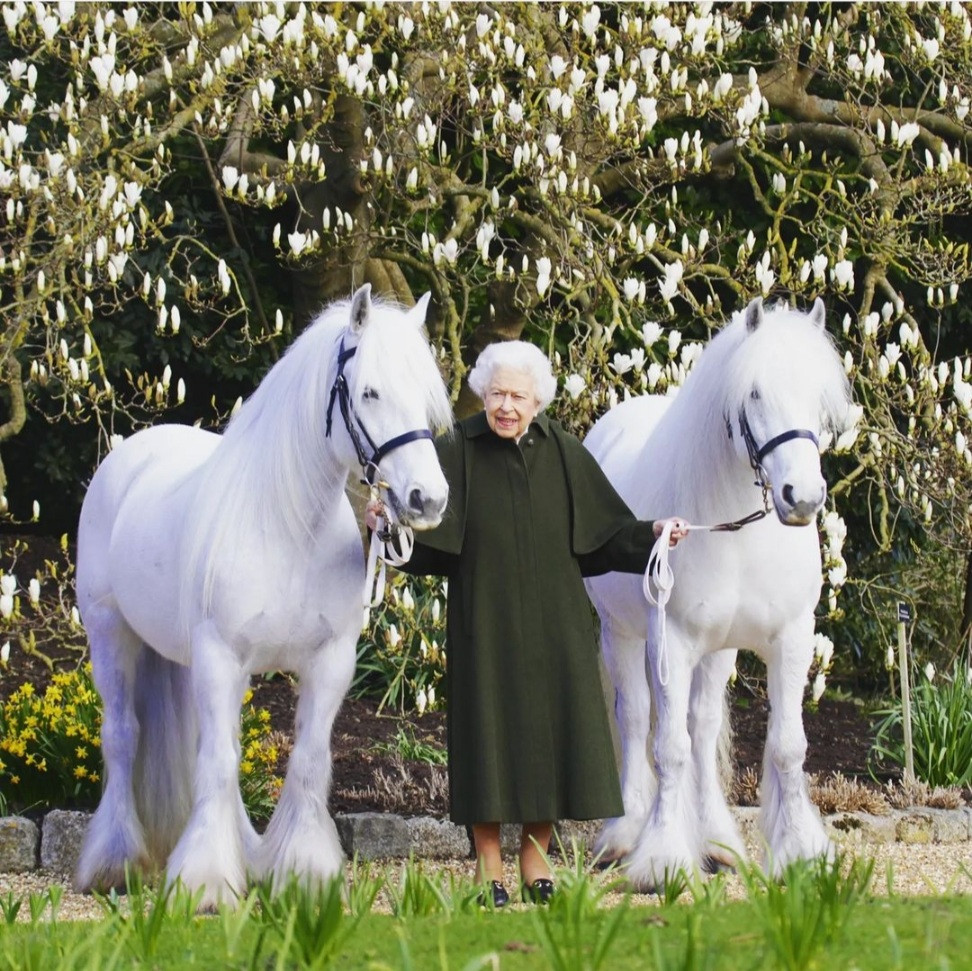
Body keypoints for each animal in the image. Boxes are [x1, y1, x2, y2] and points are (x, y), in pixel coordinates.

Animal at [74, 285, 452, 909]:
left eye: (425, 398)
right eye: (369, 391)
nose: (428, 499)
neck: (288, 527)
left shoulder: (329, 663)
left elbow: (307, 761)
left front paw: (304, 874)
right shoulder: (221, 657)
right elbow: (218, 762)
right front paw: (204, 883)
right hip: (111, 635)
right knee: (123, 737)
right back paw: (114, 863)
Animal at [583, 297, 851, 890]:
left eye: (818, 397)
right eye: (753, 393)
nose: (803, 497)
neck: (738, 531)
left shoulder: (791, 638)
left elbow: (786, 747)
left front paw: (800, 853)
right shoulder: (672, 641)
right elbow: (668, 748)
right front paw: (661, 858)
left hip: (719, 650)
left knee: (702, 727)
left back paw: (716, 841)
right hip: (622, 634)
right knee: (635, 718)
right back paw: (625, 834)